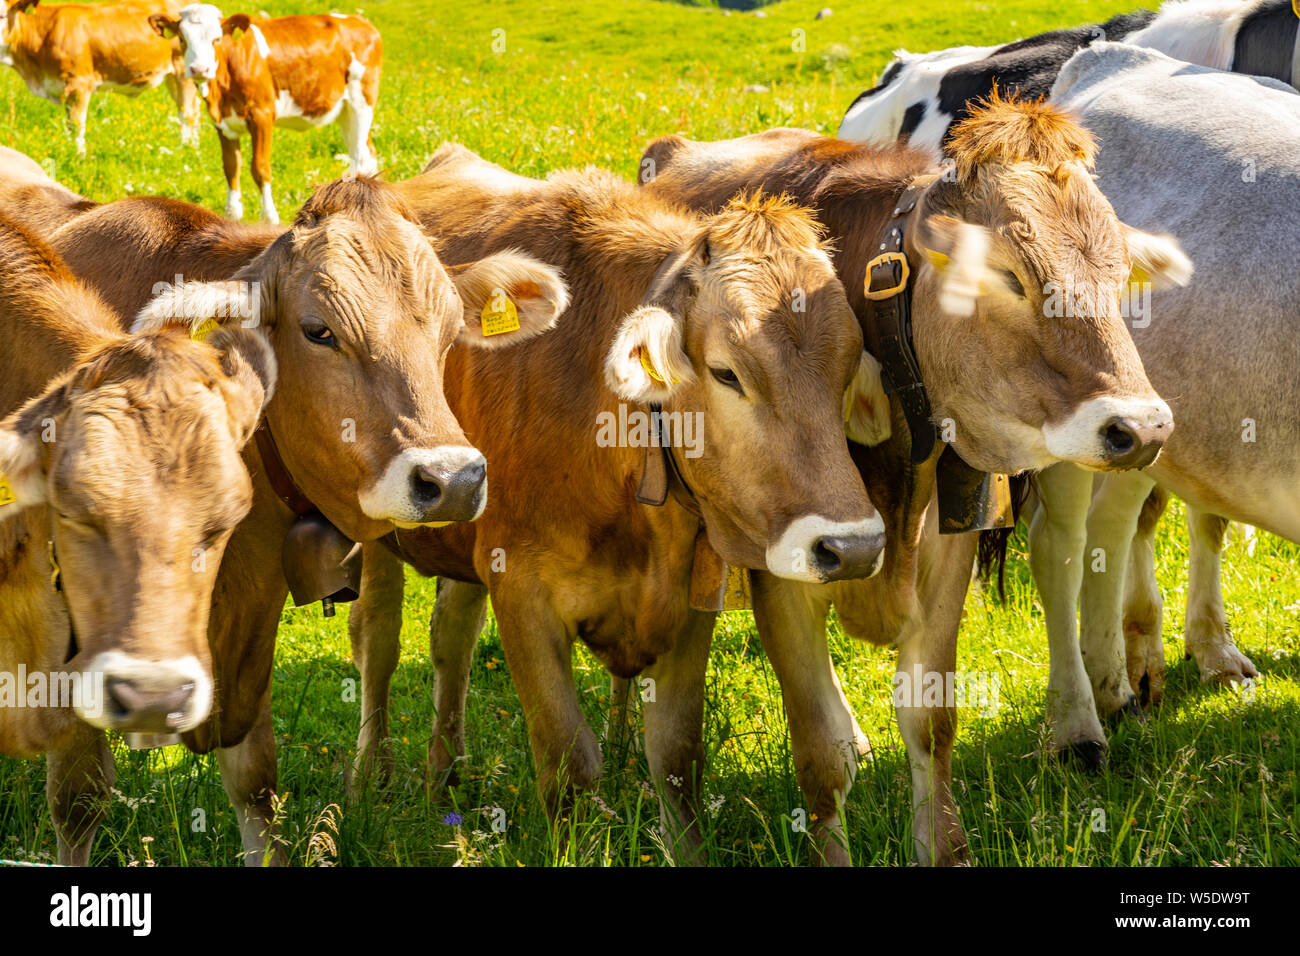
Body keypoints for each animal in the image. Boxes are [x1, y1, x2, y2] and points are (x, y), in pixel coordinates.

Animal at [0, 0, 201, 154]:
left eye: (2, 16)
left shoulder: (79, 83)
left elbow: (76, 125)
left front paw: (79, 157)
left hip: (184, 72)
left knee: (187, 113)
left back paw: (186, 150)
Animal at [42, 175, 569, 863]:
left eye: (451, 331)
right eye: (319, 331)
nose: (453, 479)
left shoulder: (252, 626)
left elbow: (256, 783)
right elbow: (79, 799)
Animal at [148, 4, 382, 223]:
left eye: (216, 39)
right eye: (182, 38)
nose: (199, 69)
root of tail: (359, 21)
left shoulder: (262, 115)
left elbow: (260, 168)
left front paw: (269, 217)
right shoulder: (223, 122)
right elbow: (231, 166)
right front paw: (232, 214)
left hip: (361, 102)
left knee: (361, 155)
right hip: (345, 111)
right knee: (365, 153)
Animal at [335, 144, 889, 863]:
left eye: (846, 370)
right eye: (727, 373)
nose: (853, 547)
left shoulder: (687, 598)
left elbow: (677, 757)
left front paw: (687, 850)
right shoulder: (523, 592)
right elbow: (569, 765)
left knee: (451, 634)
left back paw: (445, 772)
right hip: (381, 524)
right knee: (377, 636)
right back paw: (369, 776)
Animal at [634, 97, 1195, 864]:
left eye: (1118, 279)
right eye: (1009, 276)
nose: (1142, 428)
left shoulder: (947, 553)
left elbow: (931, 717)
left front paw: (942, 846)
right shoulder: (784, 568)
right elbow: (816, 749)